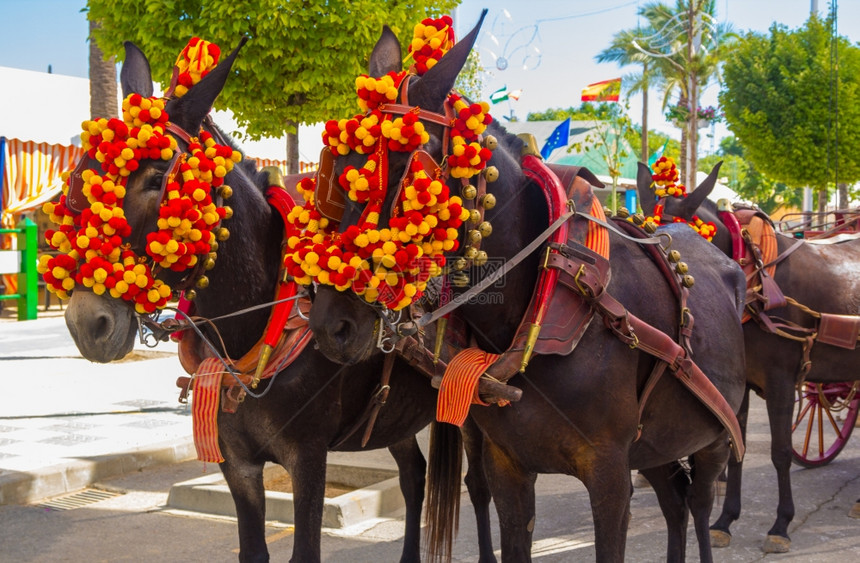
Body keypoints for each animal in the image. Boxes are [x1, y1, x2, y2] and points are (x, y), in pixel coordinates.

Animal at [53, 40, 494, 563]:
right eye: (83, 177)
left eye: (160, 178)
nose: (87, 322)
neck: (262, 321)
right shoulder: (238, 463)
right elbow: (252, 549)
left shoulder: (308, 458)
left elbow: (305, 549)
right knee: (414, 476)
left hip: (473, 402)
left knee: (480, 484)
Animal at [306, 14, 748, 563]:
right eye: (335, 173)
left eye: (411, 175)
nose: (332, 324)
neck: (549, 306)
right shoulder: (508, 468)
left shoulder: (610, 475)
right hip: (657, 448)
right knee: (674, 504)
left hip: (713, 437)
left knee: (701, 505)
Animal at [636, 161, 860, 552]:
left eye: (677, 244)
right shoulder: (737, 388)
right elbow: (735, 451)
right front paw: (725, 521)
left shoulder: (782, 380)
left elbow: (781, 452)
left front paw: (781, 524)